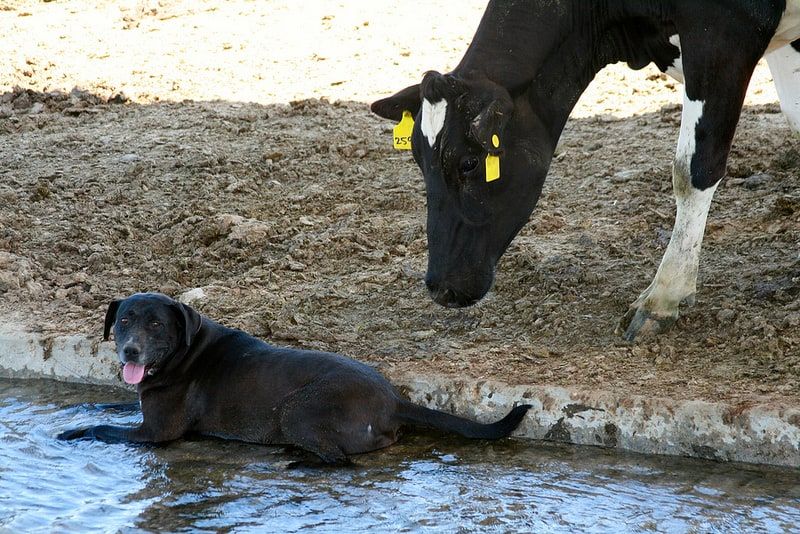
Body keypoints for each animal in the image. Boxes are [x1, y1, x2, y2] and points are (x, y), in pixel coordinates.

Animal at [371, 0, 800, 341]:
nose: (439, 287)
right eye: (417, 159)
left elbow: (692, 169)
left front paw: (664, 295)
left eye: (468, 162)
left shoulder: (722, 32)